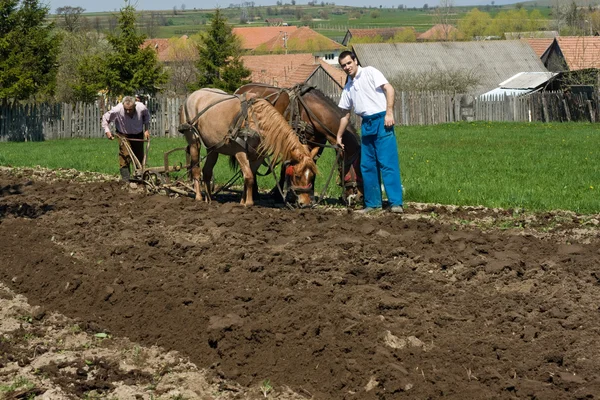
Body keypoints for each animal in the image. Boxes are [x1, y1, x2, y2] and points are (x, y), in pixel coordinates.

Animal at [177, 87, 318, 206]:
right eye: (297, 176)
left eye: (311, 176)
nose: (306, 203)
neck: (255, 120)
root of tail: (193, 95)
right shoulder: (240, 151)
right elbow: (249, 176)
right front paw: (249, 203)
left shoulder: (259, 156)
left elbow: (250, 176)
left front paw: (242, 202)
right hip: (193, 139)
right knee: (196, 169)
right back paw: (199, 197)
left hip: (213, 147)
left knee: (207, 171)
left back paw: (210, 199)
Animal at [234, 82, 364, 205]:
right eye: (359, 169)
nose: (360, 197)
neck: (312, 112)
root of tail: (241, 89)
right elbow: (287, 165)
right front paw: (281, 195)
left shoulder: (317, 145)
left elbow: (312, 164)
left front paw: (309, 195)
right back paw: (254, 193)